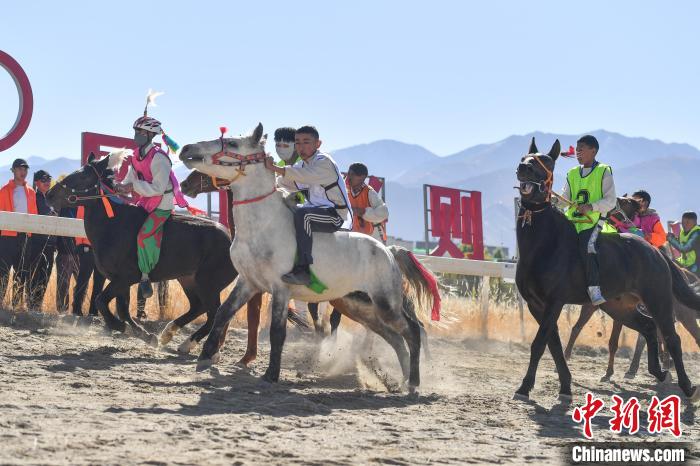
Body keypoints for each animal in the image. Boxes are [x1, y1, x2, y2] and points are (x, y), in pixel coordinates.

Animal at [180, 123, 438, 391]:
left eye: (232, 143)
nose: (187, 149)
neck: (262, 227)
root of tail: (389, 251)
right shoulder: (248, 282)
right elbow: (223, 314)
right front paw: (204, 357)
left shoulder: (280, 289)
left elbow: (277, 332)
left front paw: (271, 374)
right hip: (361, 307)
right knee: (396, 338)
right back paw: (401, 380)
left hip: (386, 304)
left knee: (413, 331)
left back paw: (414, 383)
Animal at [515, 137, 700, 402]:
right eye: (524, 157)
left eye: (547, 162)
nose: (524, 169)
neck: (545, 245)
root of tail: (656, 253)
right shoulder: (535, 304)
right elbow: (554, 344)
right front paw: (565, 386)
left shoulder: (554, 302)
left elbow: (540, 343)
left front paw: (525, 387)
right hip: (619, 307)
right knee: (648, 327)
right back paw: (658, 372)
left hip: (659, 300)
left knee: (672, 338)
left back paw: (687, 387)